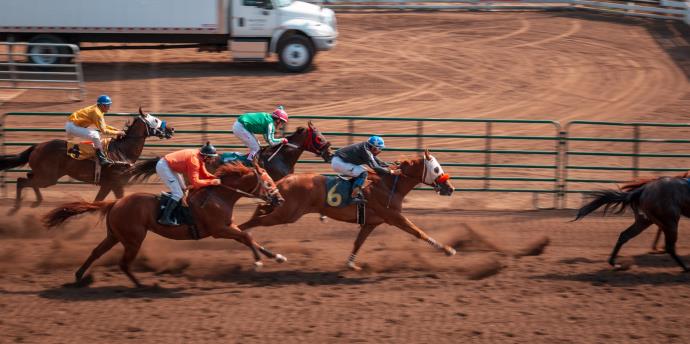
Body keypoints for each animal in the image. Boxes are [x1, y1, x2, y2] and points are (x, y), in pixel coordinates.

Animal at [0, 107, 172, 214]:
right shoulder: (114, 183)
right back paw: (16, 207)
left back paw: (36, 201)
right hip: (48, 177)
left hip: (44, 175)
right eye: (155, 120)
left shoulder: (109, 184)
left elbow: (98, 201)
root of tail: (37, 146)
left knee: (28, 178)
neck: (122, 152)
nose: (171, 129)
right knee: (22, 180)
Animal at [41, 160, 284, 288]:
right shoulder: (219, 230)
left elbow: (249, 238)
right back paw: (142, 285)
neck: (219, 196)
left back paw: (79, 276)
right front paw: (258, 262)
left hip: (115, 235)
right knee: (123, 263)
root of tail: (115, 202)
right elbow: (247, 237)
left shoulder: (228, 227)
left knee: (96, 252)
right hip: (133, 239)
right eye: (268, 182)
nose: (280, 200)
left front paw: (276, 256)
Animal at [236, 149, 456, 270]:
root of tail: (283, 180)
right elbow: (418, 232)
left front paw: (351, 264)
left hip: (282, 209)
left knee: (259, 210)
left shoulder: (371, 223)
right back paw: (243, 234)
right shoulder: (394, 217)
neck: (389, 184)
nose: (450, 188)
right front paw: (448, 250)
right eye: (436, 169)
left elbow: (358, 243)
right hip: (287, 214)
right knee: (254, 221)